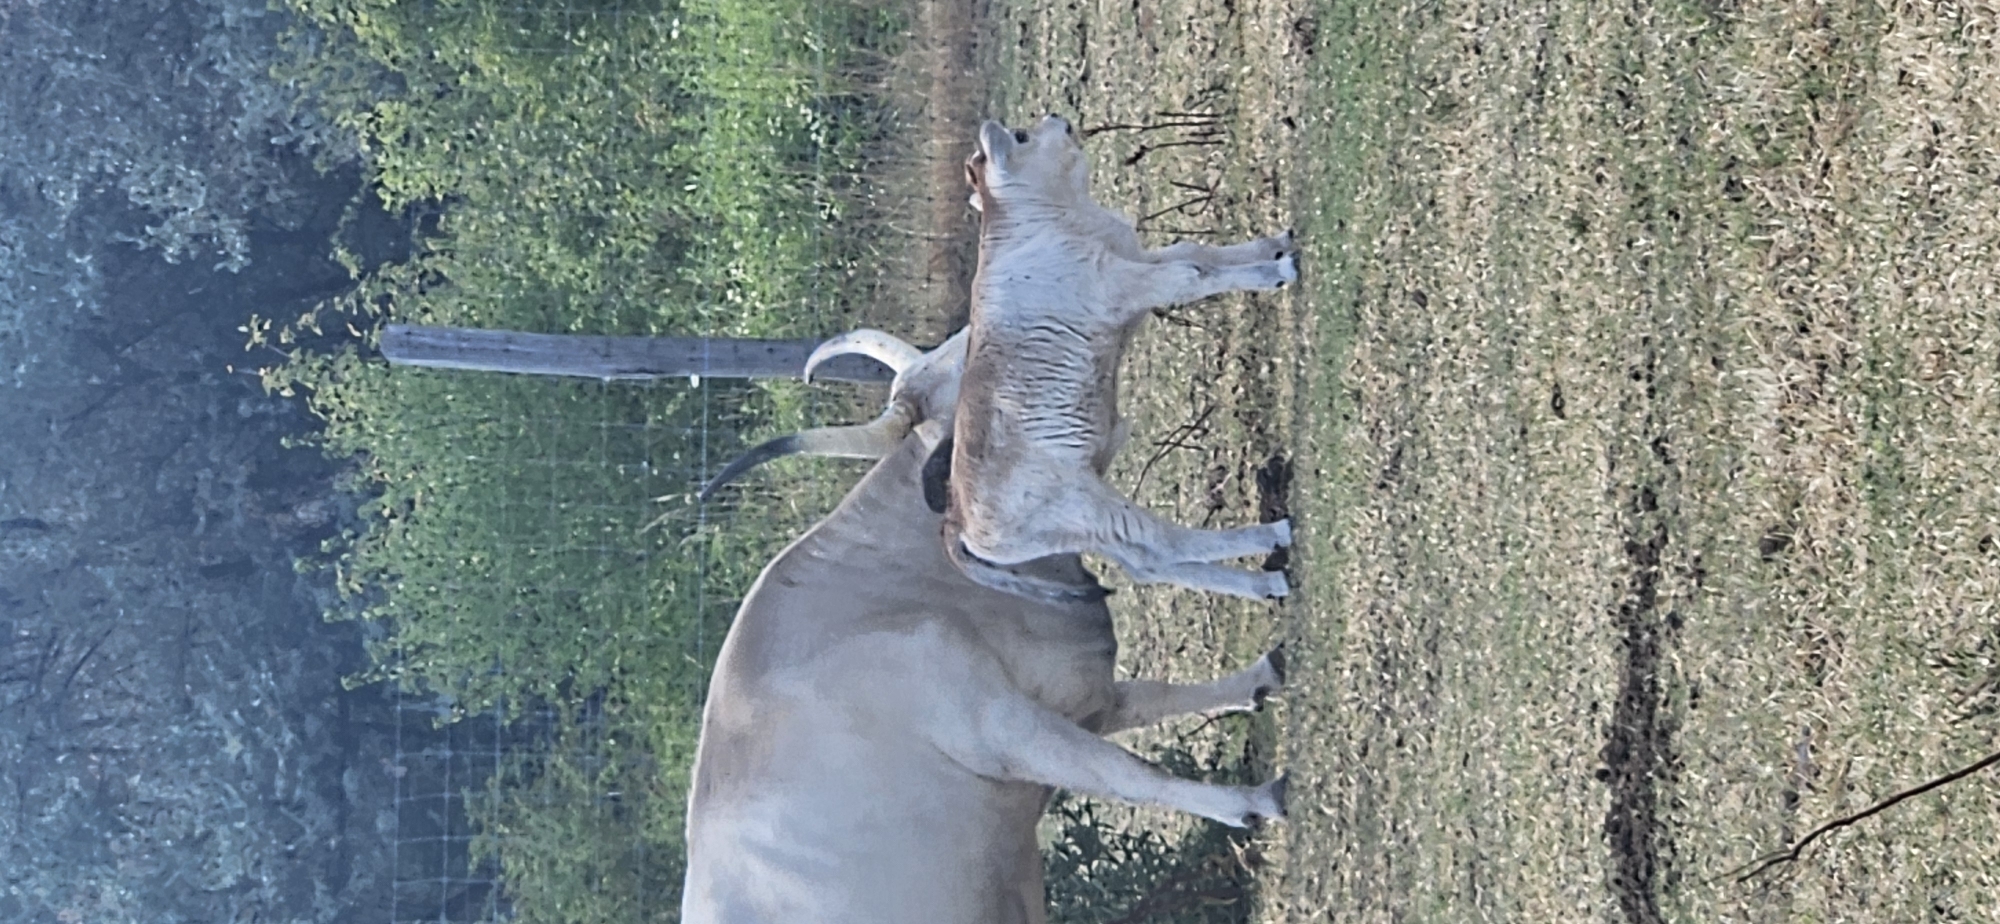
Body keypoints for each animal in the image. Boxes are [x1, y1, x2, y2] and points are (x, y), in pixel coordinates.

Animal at [680, 338, 1289, 924]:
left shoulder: (1083, 696)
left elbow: (1156, 697)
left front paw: (1264, 672)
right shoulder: (1002, 727)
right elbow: (1131, 773)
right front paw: (1254, 801)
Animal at [944, 115, 1299, 604]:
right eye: (1021, 136)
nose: (1058, 118)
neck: (1051, 222)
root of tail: (957, 517)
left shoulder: (1139, 262)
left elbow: (1197, 254)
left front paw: (1277, 243)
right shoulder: (1124, 286)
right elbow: (1192, 275)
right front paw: (1278, 270)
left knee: (1149, 562)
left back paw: (1262, 585)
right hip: (1090, 507)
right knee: (1163, 543)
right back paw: (1272, 541)